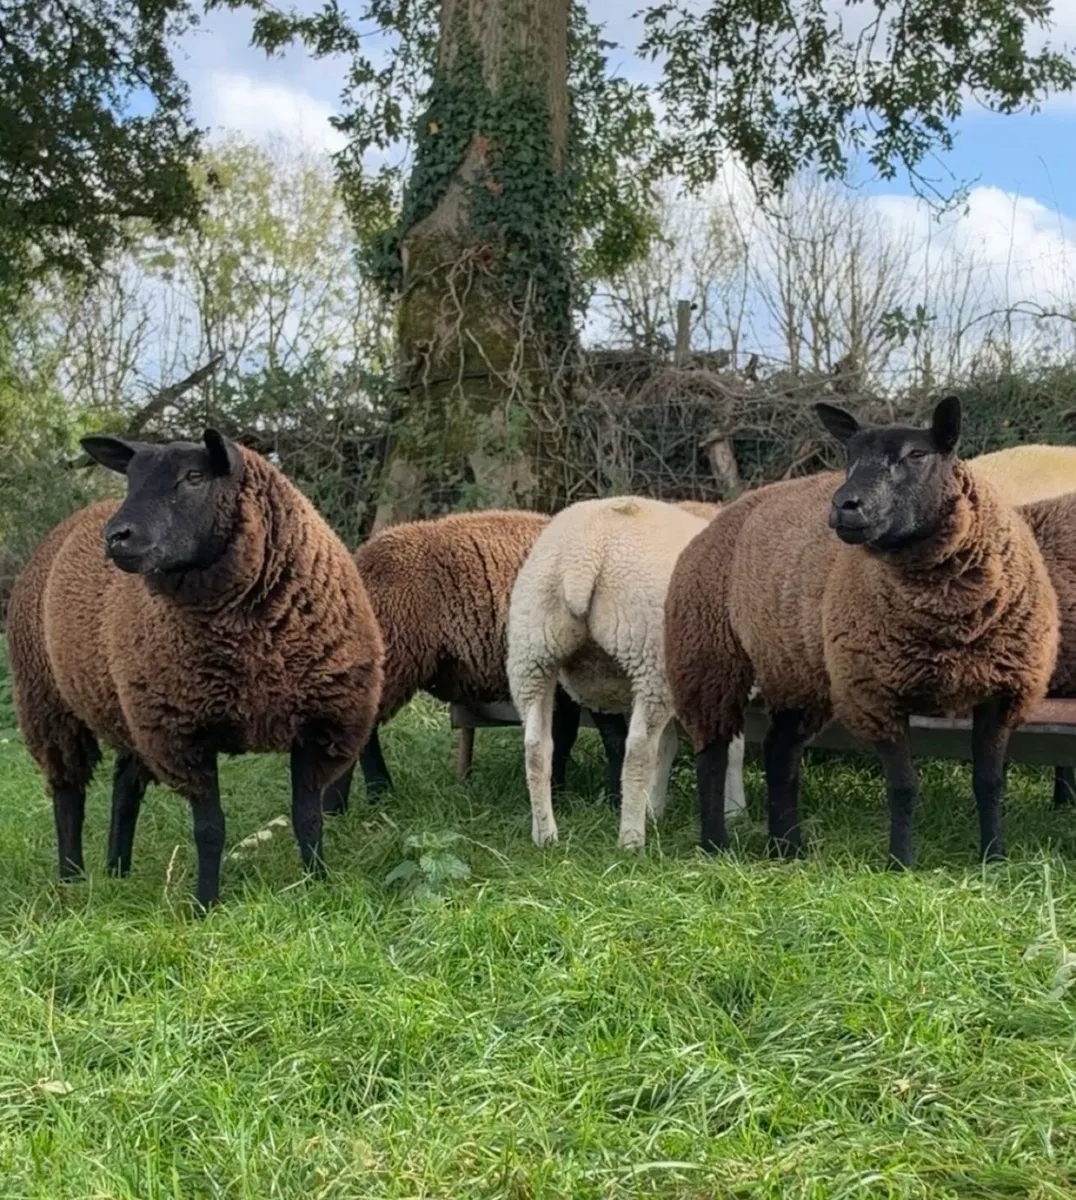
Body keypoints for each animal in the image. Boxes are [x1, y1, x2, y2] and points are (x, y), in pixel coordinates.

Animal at [6, 430, 383, 909]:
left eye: (194, 477)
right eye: (130, 478)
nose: (116, 537)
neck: (252, 641)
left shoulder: (321, 725)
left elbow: (308, 818)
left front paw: (316, 884)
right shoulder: (185, 735)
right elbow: (210, 830)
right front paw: (205, 904)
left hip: (131, 710)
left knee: (124, 789)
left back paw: (117, 871)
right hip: (47, 702)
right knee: (68, 795)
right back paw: (71, 879)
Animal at [319, 509, 629, 814]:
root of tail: (360, 559)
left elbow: (562, 738)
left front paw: (557, 796)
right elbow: (613, 738)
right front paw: (614, 801)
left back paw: (376, 795)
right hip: (393, 655)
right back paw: (341, 805)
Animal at [506, 496, 747, 851]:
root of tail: (583, 555)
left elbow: (668, 747)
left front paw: (655, 808)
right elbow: (732, 750)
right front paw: (735, 811)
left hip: (533, 648)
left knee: (537, 747)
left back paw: (545, 835)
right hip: (649, 651)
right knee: (638, 750)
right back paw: (631, 840)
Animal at [665, 396, 1059, 867]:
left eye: (917, 454)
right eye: (849, 456)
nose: (844, 505)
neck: (952, 619)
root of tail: (732, 509)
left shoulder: (1003, 692)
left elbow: (990, 783)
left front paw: (994, 859)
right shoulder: (877, 693)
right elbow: (903, 788)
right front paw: (901, 863)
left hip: (795, 669)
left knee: (780, 754)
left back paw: (787, 848)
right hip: (708, 657)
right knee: (711, 754)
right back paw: (714, 845)